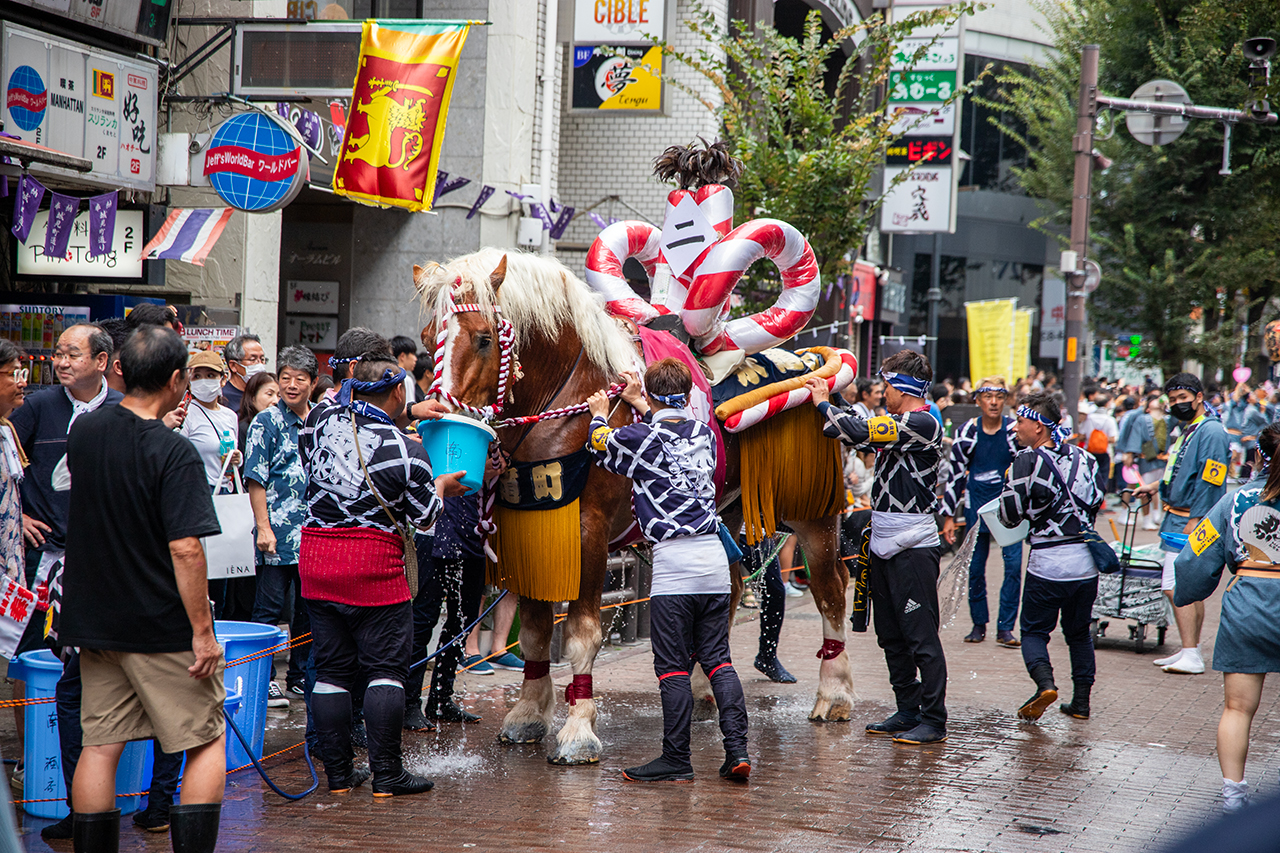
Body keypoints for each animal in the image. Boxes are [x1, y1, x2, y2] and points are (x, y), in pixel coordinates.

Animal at [419, 245, 855, 763]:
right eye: (427, 340)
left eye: (484, 339)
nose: (436, 416)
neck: (566, 402)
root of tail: (804, 359)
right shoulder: (531, 529)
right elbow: (535, 632)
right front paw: (528, 713)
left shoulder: (587, 533)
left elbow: (582, 632)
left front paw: (578, 730)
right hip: (724, 512)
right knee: (728, 591)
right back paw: (704, 691)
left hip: (813, 513)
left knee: (831, 591)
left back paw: (834, 695)